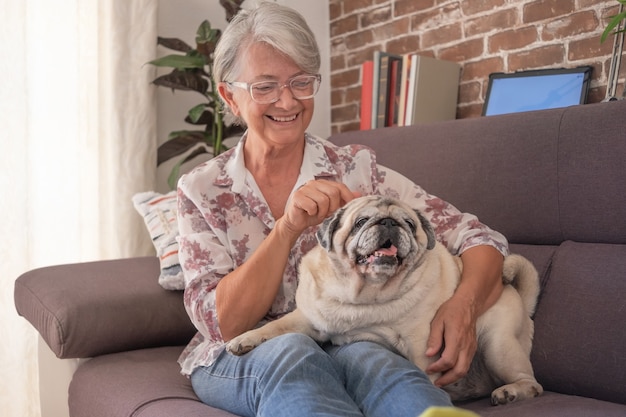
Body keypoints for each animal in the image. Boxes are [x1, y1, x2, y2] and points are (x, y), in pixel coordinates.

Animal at [224, 194, 540, 404]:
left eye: (410, 224)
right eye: (361, 222)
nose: (389, 222)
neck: (363, 294)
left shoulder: (421, 347)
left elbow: (424, 374)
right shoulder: (307, 320)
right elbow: (273, 327)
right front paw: (244, 339)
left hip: (496, 344)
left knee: (532, 383)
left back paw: (511, 392)